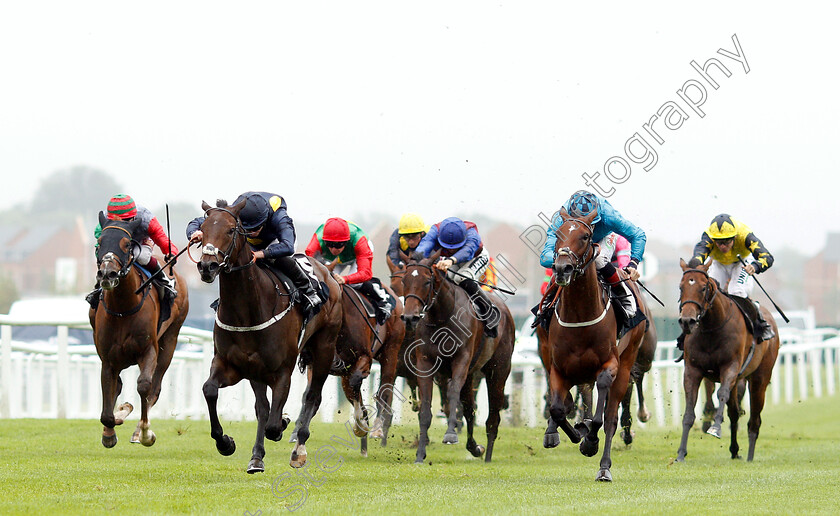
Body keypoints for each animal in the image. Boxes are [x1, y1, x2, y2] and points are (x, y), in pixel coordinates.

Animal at [90, 213, 189, 448]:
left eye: (127, 244)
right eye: (99, 243)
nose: (107, 274)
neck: (123, 308)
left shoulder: (148, 349)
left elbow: (145, 386)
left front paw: (145, 432)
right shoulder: (108, 359)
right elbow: (108, 406)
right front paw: (111, 428)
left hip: (170, 340)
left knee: (155, 387)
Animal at [197, 200, 342, 474]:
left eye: (231, 230)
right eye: (202, 229)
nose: (207, 266)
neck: (246, 312)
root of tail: (329, 274)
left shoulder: (282, 369)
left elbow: (274, 424)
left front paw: (283, 424)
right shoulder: (232, 364)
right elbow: (210, 390)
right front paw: (225, 443)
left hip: (325, 347)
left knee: (312, 396)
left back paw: (299, 448)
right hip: (258, 370)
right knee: (263, 409)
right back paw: (256, 457)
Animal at [398, 252, 516, 466]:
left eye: (427, 281)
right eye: (404, 280)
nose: (410, 318)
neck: (441, 317)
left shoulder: (461, 361)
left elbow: (453, 394)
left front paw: (450, 434)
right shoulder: (425, 363)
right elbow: (426, 408)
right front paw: (420, 454)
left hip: (498, 372)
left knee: (493, 418)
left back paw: (487, 456)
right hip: (471, 376)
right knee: (470, 410)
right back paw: (475, 448)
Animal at [540, 208, 648, 482]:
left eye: (586, 236)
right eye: (557, 234)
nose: (562, 268)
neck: (580, 315)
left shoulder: (610, 365)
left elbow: (601, 418)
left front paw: (589, 441)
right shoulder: (559, 367)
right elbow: (558, 408)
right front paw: (571, 431)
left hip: (626, 363)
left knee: (610, 418)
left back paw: (604, 467)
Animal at [676, 260, 780, 462]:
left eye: (703, 288)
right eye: (681, 287)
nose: (687, 321)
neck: (712, 327)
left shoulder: (730, 368)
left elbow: (721, 394)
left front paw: (715, 428)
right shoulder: (693, 370)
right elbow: (689, 411)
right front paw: (681, 453)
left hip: (759, 379)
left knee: (754, 420)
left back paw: (750, 456)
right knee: (734, 413)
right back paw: (734, 450)